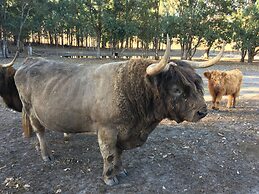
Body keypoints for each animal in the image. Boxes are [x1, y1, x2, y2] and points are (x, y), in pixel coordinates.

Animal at [14, 36, 225, 185]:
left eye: (197, 83)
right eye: (177, 89)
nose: (203, 111)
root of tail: (29, 61)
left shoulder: (124, 132)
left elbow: (119, 153)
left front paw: (121, 170)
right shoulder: (107, 130)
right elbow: (109, 154)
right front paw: (109, 178)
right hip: (31, 110)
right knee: (40, 131)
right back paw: (46, 154)